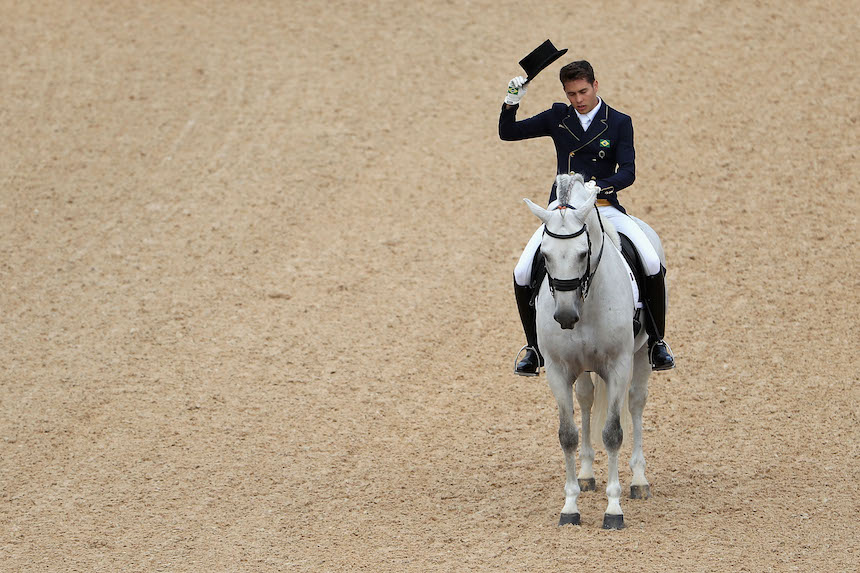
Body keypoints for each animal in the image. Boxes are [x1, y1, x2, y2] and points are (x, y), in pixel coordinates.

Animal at [523, 173, 666, 529]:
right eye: (544, 255)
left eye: (582, 253)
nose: (564, 316)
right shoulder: (558, 371)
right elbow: (567, 435)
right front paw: (570, 507)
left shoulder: (618, 366)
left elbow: (613, 433)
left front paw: (613, 510)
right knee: (586, 401)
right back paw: (587, 475)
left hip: (641, 358)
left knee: (636, 403)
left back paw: (638, 481)